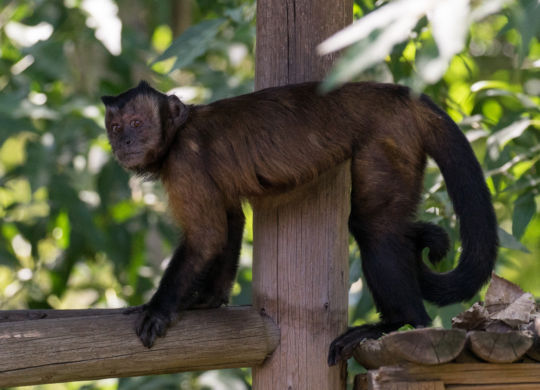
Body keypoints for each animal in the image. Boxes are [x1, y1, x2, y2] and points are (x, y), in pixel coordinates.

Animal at [101, 80, 498, 366]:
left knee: (374, 226)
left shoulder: (186, 162)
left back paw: (400, 322)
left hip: (388, 139)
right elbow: (229, 223)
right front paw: (207, 300)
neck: (177, 135)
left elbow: (206, 237)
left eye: (137, 123)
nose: (125, 141)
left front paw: (159, 309)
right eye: (116, 127)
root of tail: (398, 94)